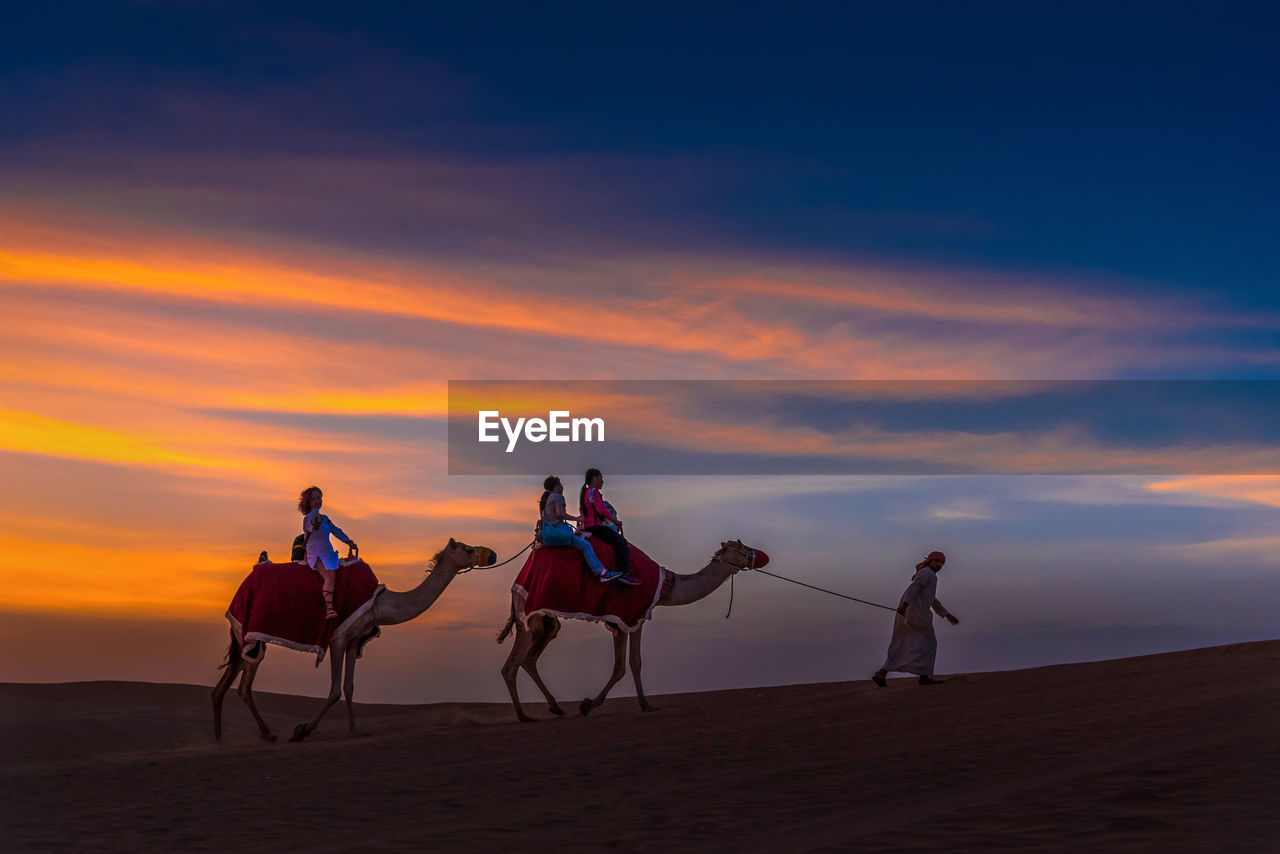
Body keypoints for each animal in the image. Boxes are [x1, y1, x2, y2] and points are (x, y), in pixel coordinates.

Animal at [215, 537, 483, 742]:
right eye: (467, 549)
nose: (487, 555)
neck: (379, 603)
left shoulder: (354, 640)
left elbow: (349, 686)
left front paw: (355, 729)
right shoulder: (338, 638)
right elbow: (335, 690)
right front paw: (303, 730)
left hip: (244, 638)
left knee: (226, 683)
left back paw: (221, 738)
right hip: (251, 633)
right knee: (244, 685)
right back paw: (266, 734)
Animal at [496, 540, 757, 722]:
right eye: (741, 547)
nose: (757, 556)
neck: (667, 586)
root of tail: (516, 583)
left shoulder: (629, 621)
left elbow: (630, 663)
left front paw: (644, 705)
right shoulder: (629, 617)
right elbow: (626, 665)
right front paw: (588, 705)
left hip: (546, 620)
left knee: (530, 657)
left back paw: (555, 706)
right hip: (528, 611)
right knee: (511, 665)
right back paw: (524, 716)